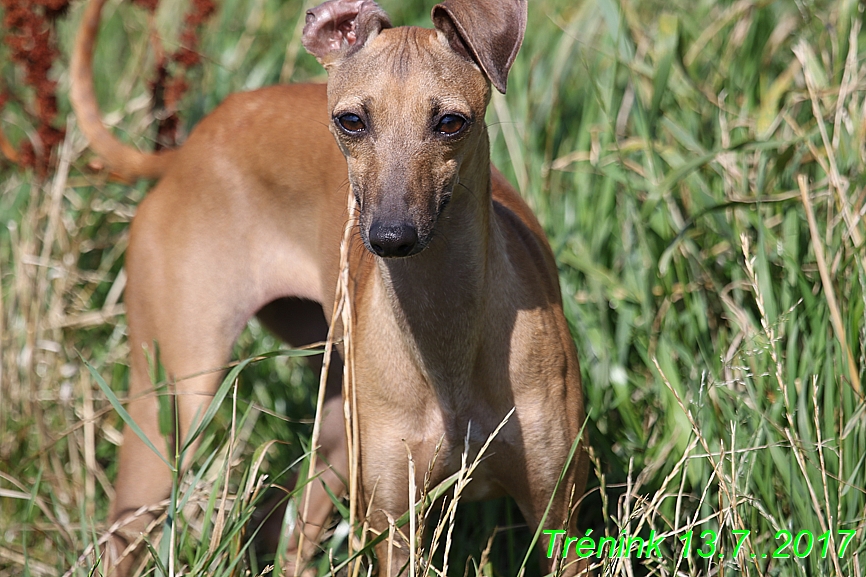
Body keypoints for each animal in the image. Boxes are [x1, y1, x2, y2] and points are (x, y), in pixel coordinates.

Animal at [71, 0, 592, 572]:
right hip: (172, 406)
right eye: (352, 121)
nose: (390, 237)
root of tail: (192, 146)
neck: (447, 346)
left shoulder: (558, 516)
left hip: (333, 435)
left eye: (451, 122)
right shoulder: (396, 528)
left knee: (283, 532)